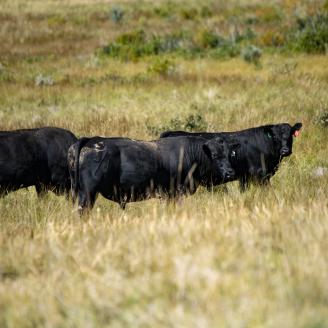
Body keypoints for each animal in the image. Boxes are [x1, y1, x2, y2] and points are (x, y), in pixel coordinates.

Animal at [68, 135, 238, 213]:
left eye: (229, 154)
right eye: (214, 155)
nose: (230, 172)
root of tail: (92, 139)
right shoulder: (174, 192)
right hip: (88, 193)